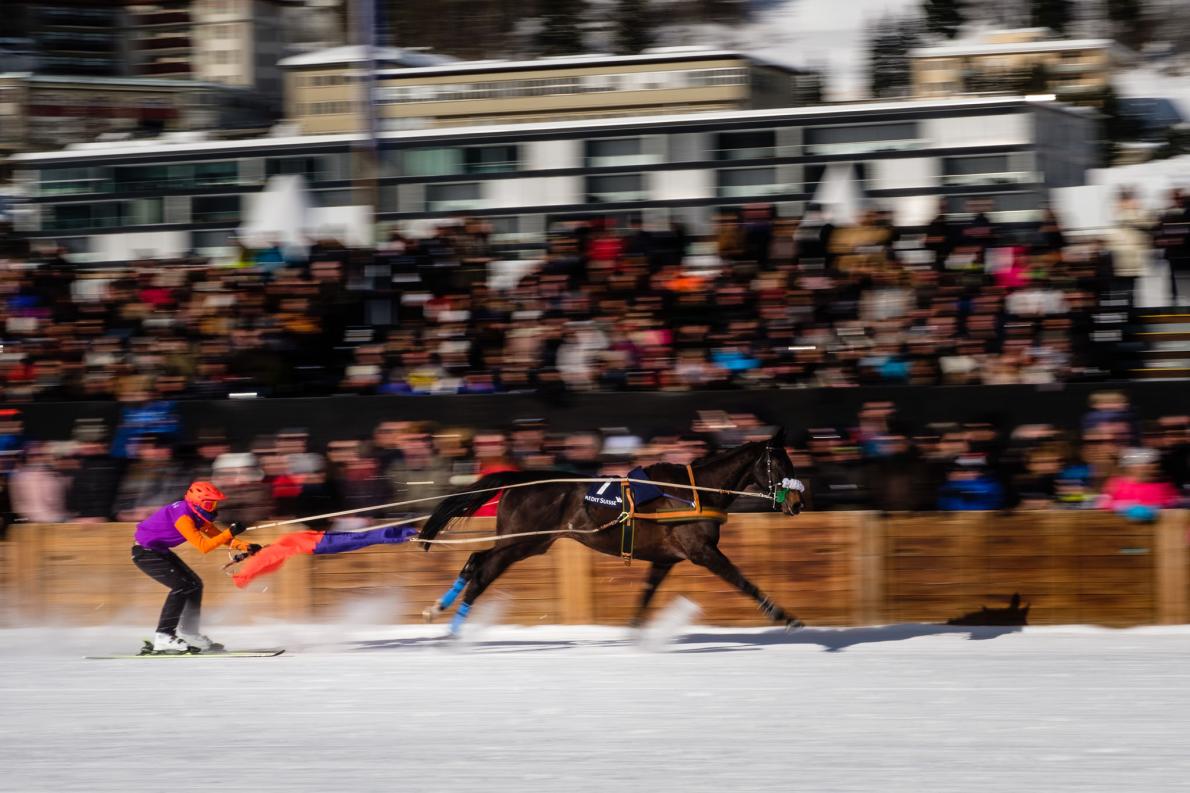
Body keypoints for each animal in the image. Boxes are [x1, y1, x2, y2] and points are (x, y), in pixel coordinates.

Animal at [418, 423, 809, 633]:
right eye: (780, 463)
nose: (797, 502)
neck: (694, 492)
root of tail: (520, 479)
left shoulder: (665, 559)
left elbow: (647, 594)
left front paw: (634, 634)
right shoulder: (703, 552)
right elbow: (743, 581)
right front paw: (786, 616)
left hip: (527, 543)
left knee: (474, 560)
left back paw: (438, 608)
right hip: (521, 542)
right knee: (482, 570)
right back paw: (452, 627)